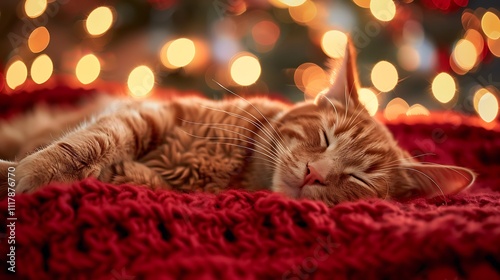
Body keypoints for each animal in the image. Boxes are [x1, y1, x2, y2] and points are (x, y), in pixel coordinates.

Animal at [0, 38, 474, 206]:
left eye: (358, 178)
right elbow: (89, 143)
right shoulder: (151, 114)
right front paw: (32, 171)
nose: (314, 172)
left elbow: (120, 174)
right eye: (324, 138)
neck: (238, 169)